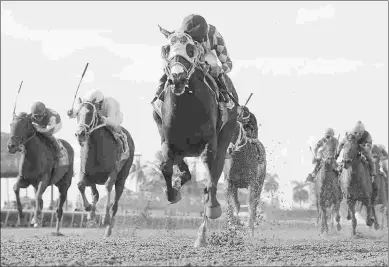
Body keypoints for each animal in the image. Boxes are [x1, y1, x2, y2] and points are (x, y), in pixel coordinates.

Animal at [74, 97, 135, 238]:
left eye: (90, 113)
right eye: (77, 113)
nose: (80, 134)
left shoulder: (112, 172)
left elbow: (107, 187)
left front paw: (105, 219)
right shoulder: (86, 173)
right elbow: (82, 186)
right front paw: (89, 210)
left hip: (122, 178)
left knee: (115, 203)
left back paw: (108, 228)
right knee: (95, 194)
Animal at [152, 26, 238, 247]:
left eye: (190, 48)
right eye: (167, 48)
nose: (177, 77)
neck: (186, 106)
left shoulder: (211, 143)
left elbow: (210, 179)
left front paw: (213, 207)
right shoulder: (168, 141)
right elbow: (166, 166)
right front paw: (172, 193)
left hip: (225, 138)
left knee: (214, 175)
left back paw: (203, 232)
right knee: (183, 168)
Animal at [223, 109, 266, 237]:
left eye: (236, 128)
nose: (228, 149)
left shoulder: (252, 183)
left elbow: (250, 204)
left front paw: (249, 228)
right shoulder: (229, 183)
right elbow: (233, 204)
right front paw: (234, 225)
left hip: (259, 184)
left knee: (254, 204)